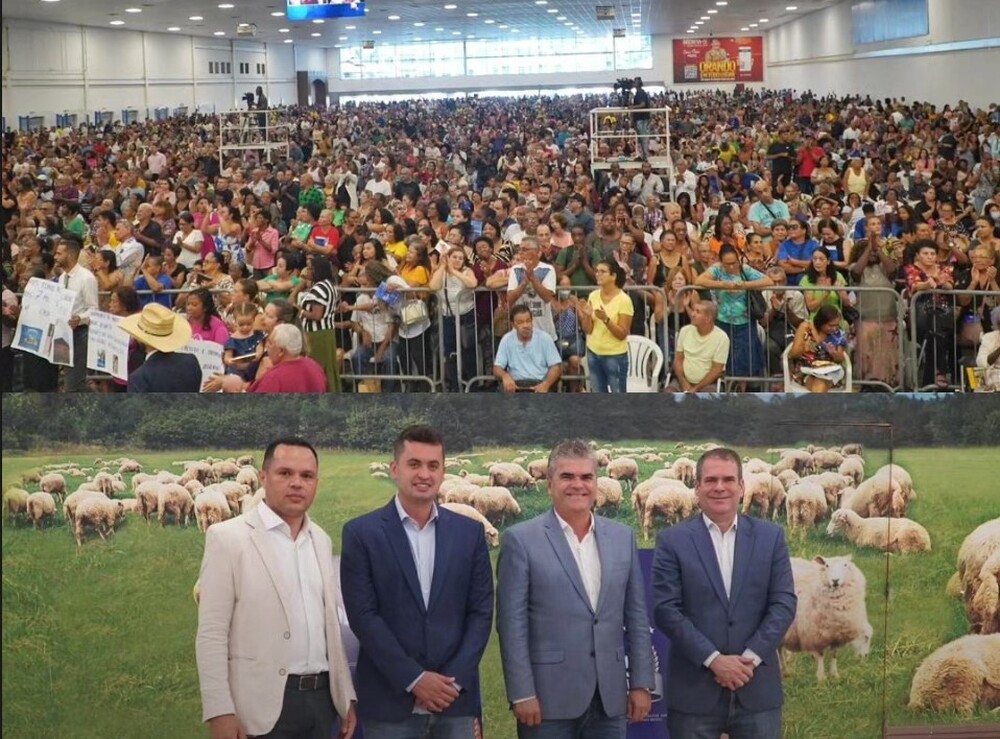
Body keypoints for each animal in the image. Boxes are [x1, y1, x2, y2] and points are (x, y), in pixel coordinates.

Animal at [784, 556, 872, 684]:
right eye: (826, 566)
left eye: (845, 565)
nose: (835, 580)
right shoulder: (817, 633)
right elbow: (821, 655)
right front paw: (821, 678)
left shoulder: (836, 634)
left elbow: (834, 654)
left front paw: (835, 675)